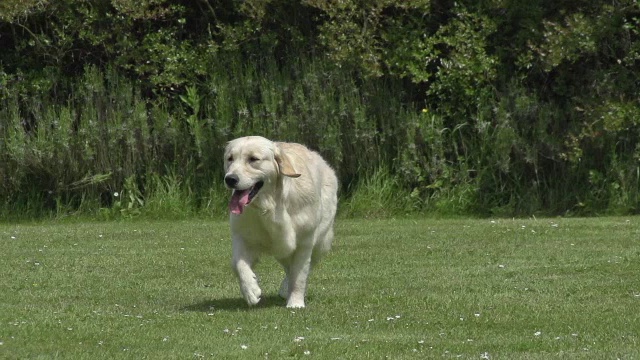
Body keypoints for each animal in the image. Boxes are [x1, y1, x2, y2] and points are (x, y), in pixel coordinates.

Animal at [222, 136, 338, 308]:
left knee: (307, 265)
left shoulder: (304, 242)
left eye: (253, 159)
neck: (270, 206)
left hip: (321, 242)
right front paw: (250, 290)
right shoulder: (243, 236)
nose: (230, 179)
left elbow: (299, 275)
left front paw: (295, 303)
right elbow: (238, 264)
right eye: (230, 158)